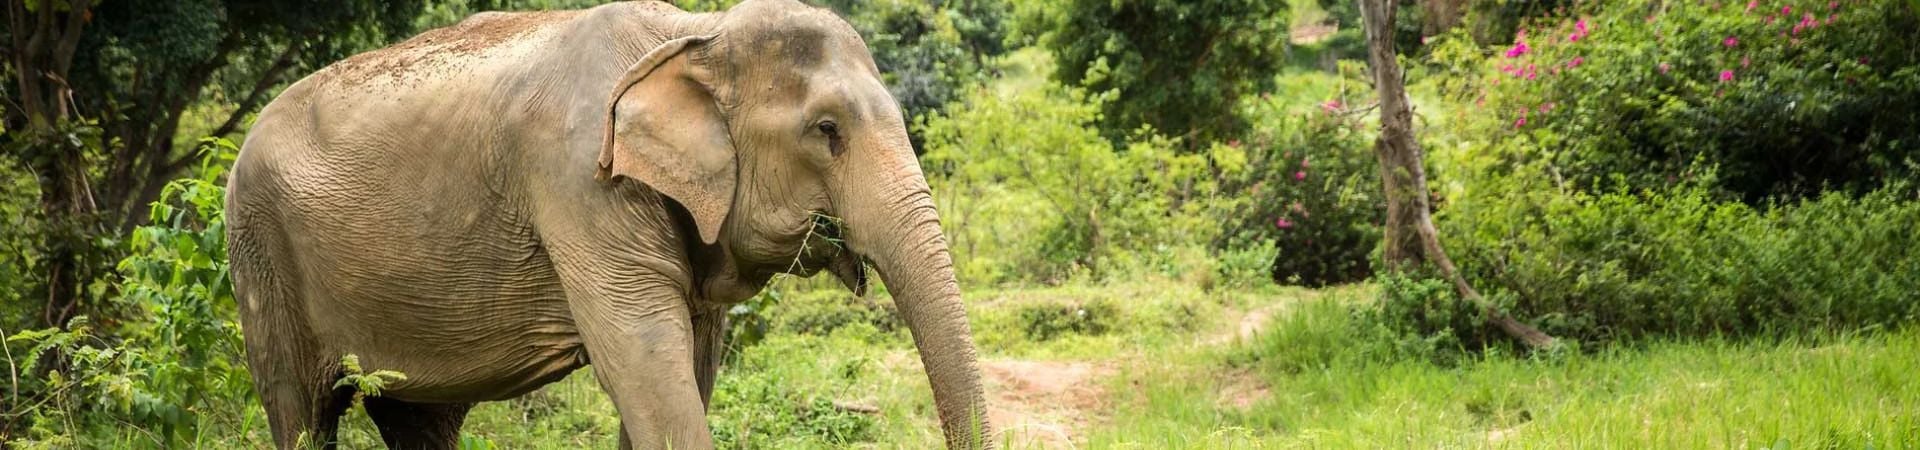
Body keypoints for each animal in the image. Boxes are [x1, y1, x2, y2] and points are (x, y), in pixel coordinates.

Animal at [223, 1, 989, 448]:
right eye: (826, 131)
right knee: (301, 409)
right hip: (260, 253)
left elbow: (689, 366)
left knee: (420, 420)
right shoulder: (580, 183)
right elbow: (646, 359)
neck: (695, 30)